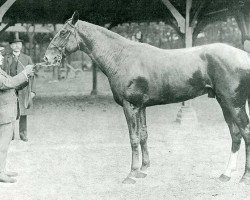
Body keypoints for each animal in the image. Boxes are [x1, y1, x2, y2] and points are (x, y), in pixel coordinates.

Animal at [43, 10, 250, 184]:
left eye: (63, 32)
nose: (47, 58)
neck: (121, 57)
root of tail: (244, 56)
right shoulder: (141, 106)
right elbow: (143, 135)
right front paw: (144, 170)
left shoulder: (130, 106)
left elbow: (133, 138)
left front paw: (131, 174)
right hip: (224, 103)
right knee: (235, 135)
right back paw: (226, 174)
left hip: (235, 104)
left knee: (245, 133)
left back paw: (244, 178)